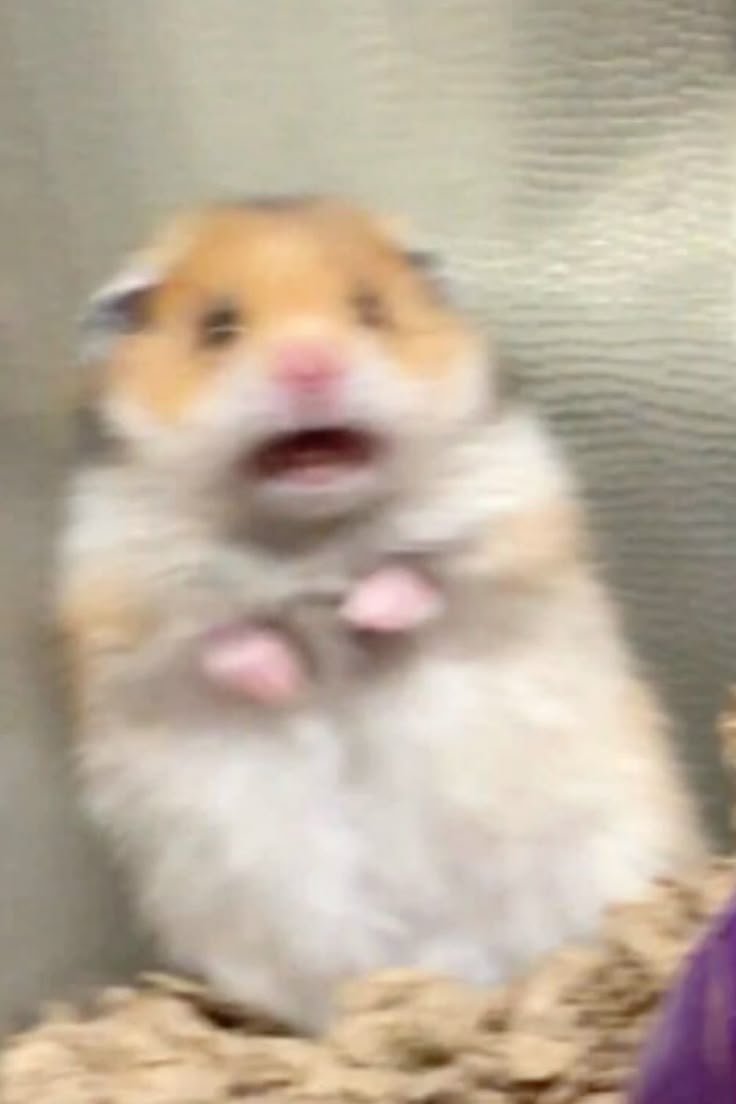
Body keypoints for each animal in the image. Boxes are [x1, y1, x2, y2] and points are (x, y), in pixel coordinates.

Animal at [56, 196, 704, 1031]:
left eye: (372, 311)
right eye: (218, 327)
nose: (311, 366)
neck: (312, 532)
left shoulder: (517, 529)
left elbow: (422, 578)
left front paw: (363, 614)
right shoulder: (118, 611)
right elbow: (222, 640)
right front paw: (287, 677)